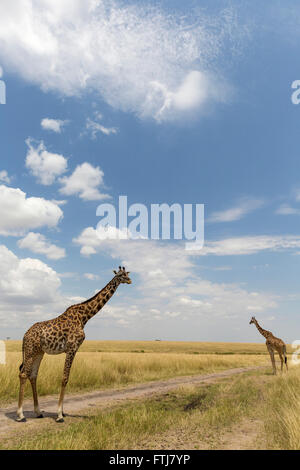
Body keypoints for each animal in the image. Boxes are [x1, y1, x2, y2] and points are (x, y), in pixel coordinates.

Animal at [16, 266, 131, 424]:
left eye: (126, 274)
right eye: (120, 275)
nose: (130, 280)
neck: (85, 317)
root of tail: (24, 335)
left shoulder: (73, 349)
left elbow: (66, 377)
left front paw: (62, 412)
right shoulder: (72, 347)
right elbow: (65, 378)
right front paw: (59, 415)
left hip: (39, 352)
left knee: (32, 375)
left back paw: (38, 412)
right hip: (30, 350)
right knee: (23, 374)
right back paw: (20, 415)